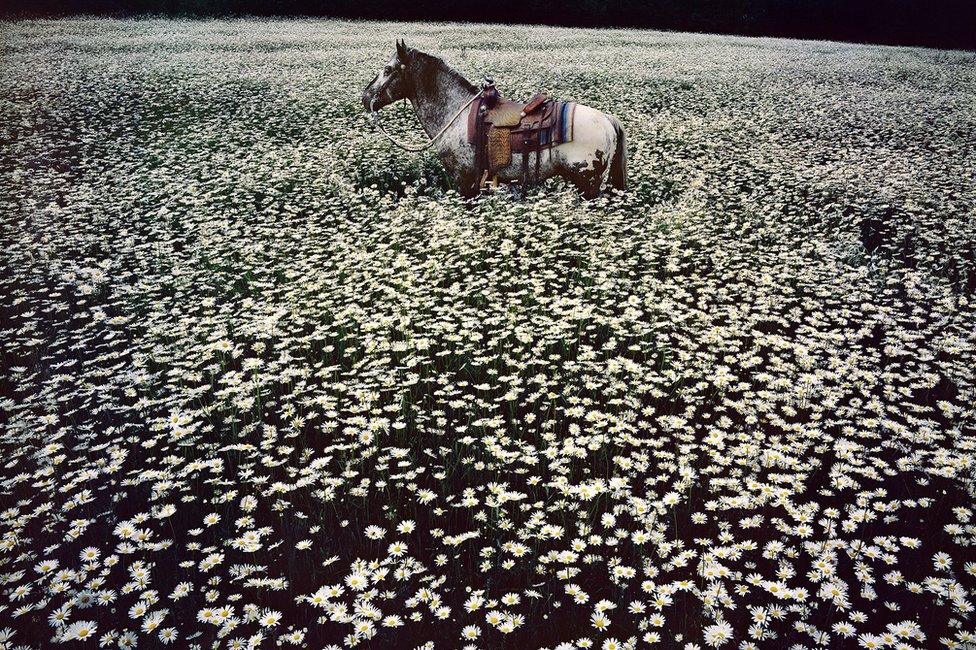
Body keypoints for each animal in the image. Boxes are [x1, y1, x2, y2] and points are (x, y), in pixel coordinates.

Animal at [362, 39, 628, 197]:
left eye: (387, 70)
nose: (366, 97)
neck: (455, 113)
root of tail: (608, 120)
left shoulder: (464, 180)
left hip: (588, 183)